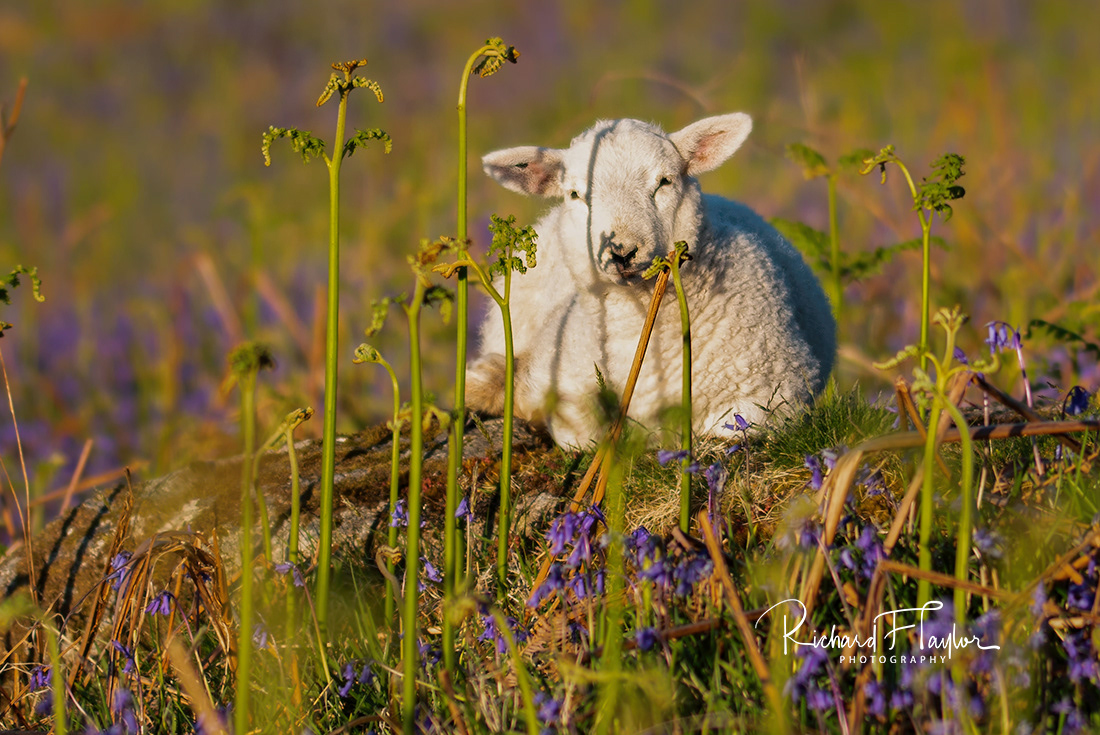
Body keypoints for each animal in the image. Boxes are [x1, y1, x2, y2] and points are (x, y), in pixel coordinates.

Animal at [466, 113, 836, 447]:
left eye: (664, 181)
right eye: (574, 194)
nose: (621, 251)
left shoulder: (774, 391)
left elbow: (733, 427)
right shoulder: (563, 386)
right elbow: (583, 436)